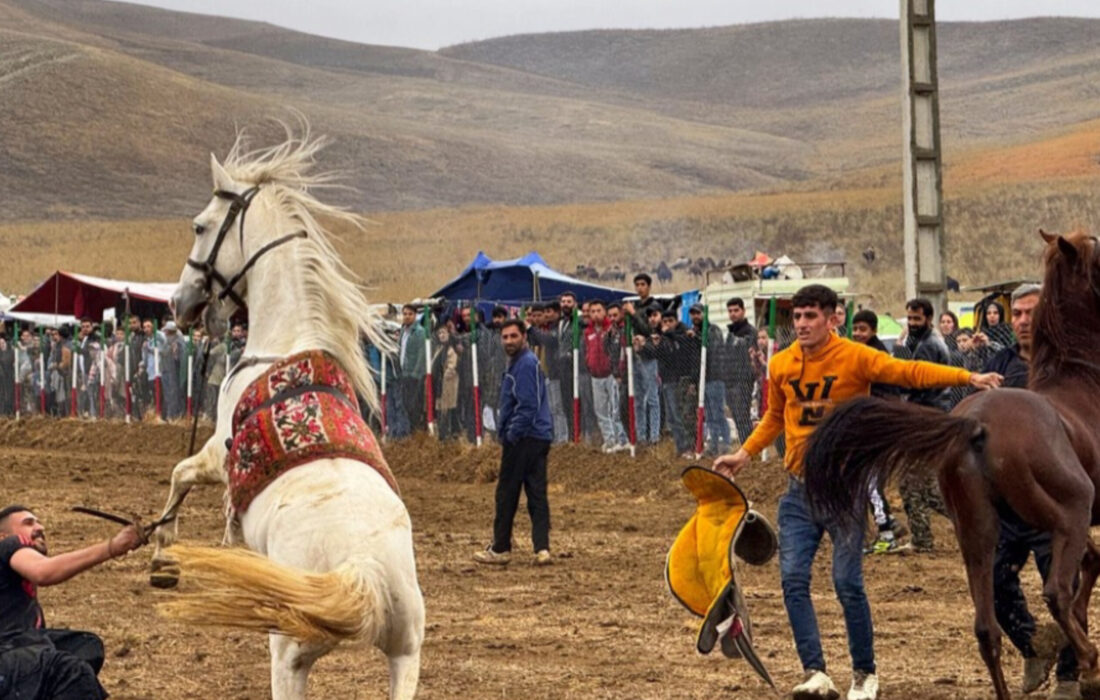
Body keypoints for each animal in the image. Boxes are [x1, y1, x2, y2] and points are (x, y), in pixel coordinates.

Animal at [157, 129, 422, 700]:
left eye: (200, 225)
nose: (177, 303)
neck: (283, 342)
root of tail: (362, 570)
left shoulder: (218, 452)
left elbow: (180, 473)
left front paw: (162, 557)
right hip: (405, 657)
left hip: (289, 657)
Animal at [805, 231, 1100, 700]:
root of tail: (974, 424)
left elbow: (1094, 563)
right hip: (1067, 513)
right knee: (1055, 592)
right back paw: (1088, 663)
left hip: (980, 533)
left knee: (987, 629)